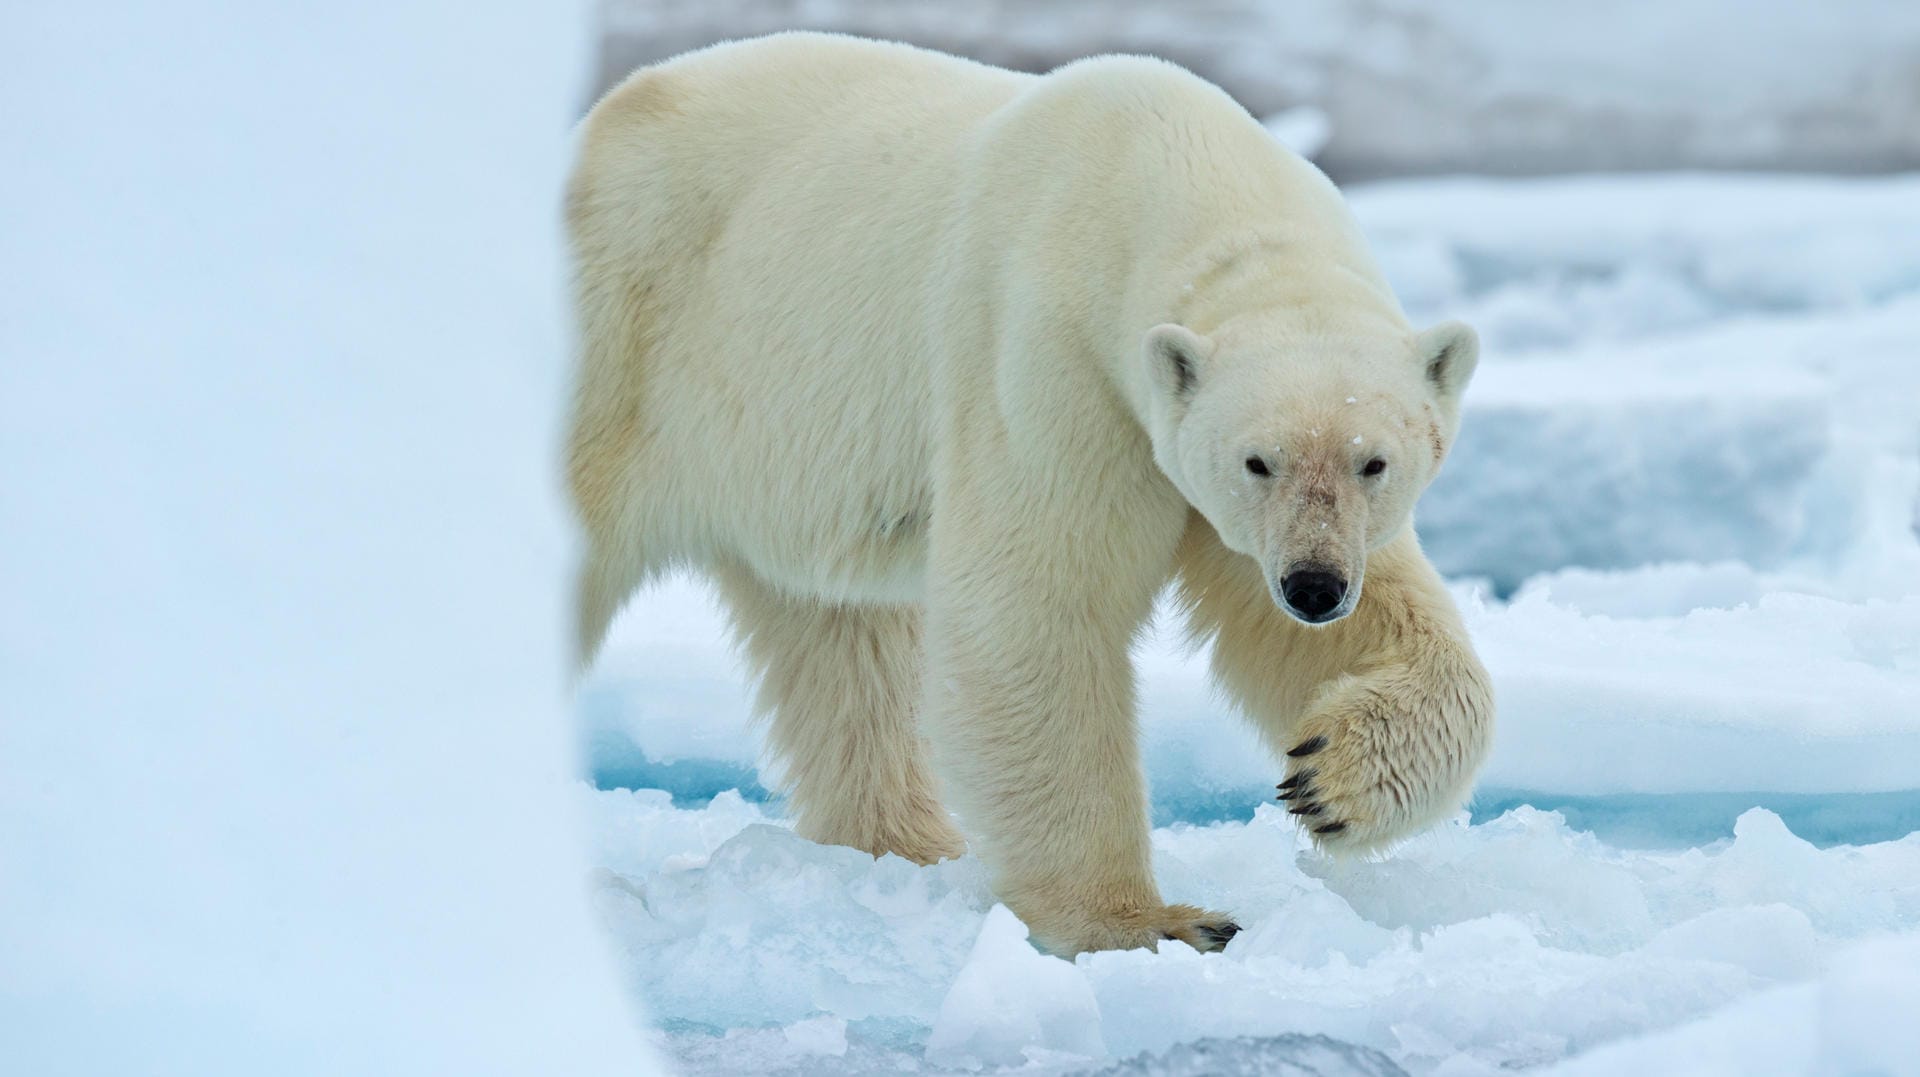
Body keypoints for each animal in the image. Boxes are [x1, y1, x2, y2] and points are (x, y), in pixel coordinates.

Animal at [568, 33, 1497, 952]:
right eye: (1256, 460)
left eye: (1372, 461)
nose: (1313, 586)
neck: (1176, 171)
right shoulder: (1054, 359)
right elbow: (1036, 606)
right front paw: (1153, 921)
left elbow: (1347, 630)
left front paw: (1326, 778)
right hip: (631, 340)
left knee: (843, 640)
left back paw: (913, 844)